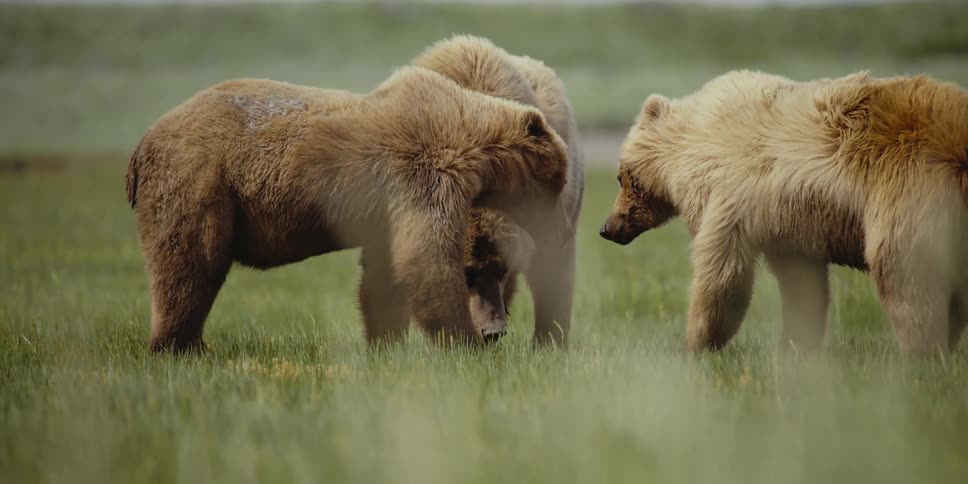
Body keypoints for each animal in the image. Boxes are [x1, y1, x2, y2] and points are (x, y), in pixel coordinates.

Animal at [125, 66, 570, 352]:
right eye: (557, 181)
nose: (556, 223)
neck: (473, 145)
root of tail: (140, 144)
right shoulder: (421, 172)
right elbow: (426, 258)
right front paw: (465, 342)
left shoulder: (391, 208)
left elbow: (385, 271)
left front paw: (386, 342)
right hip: (198, 182)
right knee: (188, 265)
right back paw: (179, 345)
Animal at [600, 70, 968, 356]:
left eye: (621, 176)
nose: (607, 227)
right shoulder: (786, 225)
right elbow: (802, 283)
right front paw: (796, 345)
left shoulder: (732, 198)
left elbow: (722, 274)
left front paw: (695, 343)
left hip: (905, 194)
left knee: (903, 277)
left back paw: (923, 354)